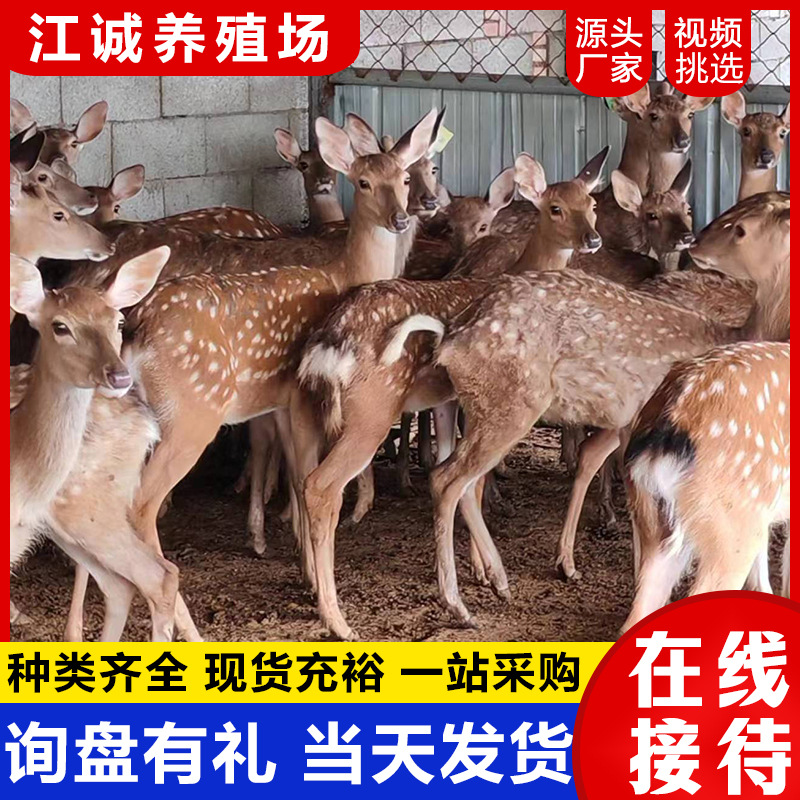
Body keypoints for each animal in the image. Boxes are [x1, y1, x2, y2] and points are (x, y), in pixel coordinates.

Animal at [10, 248, 179, 641]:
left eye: (118, 322)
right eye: (60, 326)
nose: (118, 375)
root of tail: (147, 423)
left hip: (90, 506)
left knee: (155, 575)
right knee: (122, 584)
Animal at [293, 148, 609, 640]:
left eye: (590, 203)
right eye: (555, 208)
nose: (593, 239)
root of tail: (331, 343)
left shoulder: (444, 400)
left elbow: (450, 469)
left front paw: (482, 572)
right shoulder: (473, 399)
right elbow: (469, 481)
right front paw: (493, 577)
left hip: (309, 407)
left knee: (299, 476)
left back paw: (311, 587)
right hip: (371, 410)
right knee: (321, 486)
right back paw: (338, 620)